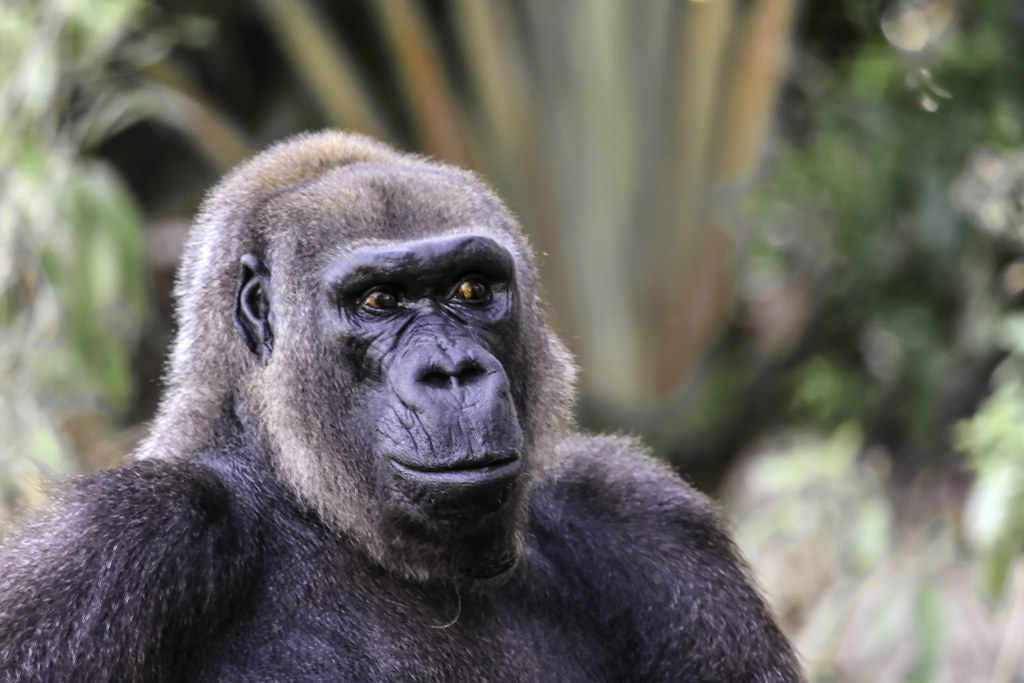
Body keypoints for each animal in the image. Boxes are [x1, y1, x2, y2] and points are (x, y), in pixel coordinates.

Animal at [0, 131, 802, 681]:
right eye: (379, 301)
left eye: (473, 289)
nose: (452, 372)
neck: (305, 499)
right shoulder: (125, 536)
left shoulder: (645, 522)